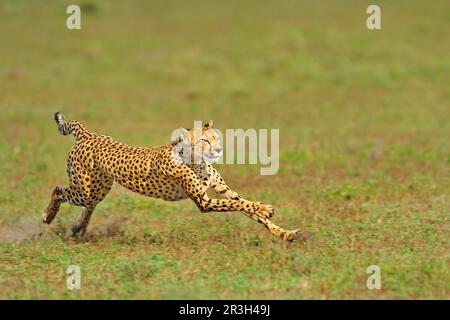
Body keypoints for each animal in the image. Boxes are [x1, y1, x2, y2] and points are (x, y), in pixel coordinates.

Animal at [44, 112, 304, 240]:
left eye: (217, 138)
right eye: (205, 140)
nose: (219, 150)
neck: (194, 159)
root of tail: (89, 134)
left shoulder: (222, 191)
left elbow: (246, 207)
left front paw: (285, 233)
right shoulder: (204, 202)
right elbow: (240, 205)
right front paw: (265, 208)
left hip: (98, 189)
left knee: (89, 206)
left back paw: (78, 228)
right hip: (84, 188)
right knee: (58, 189)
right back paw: (48, 216)